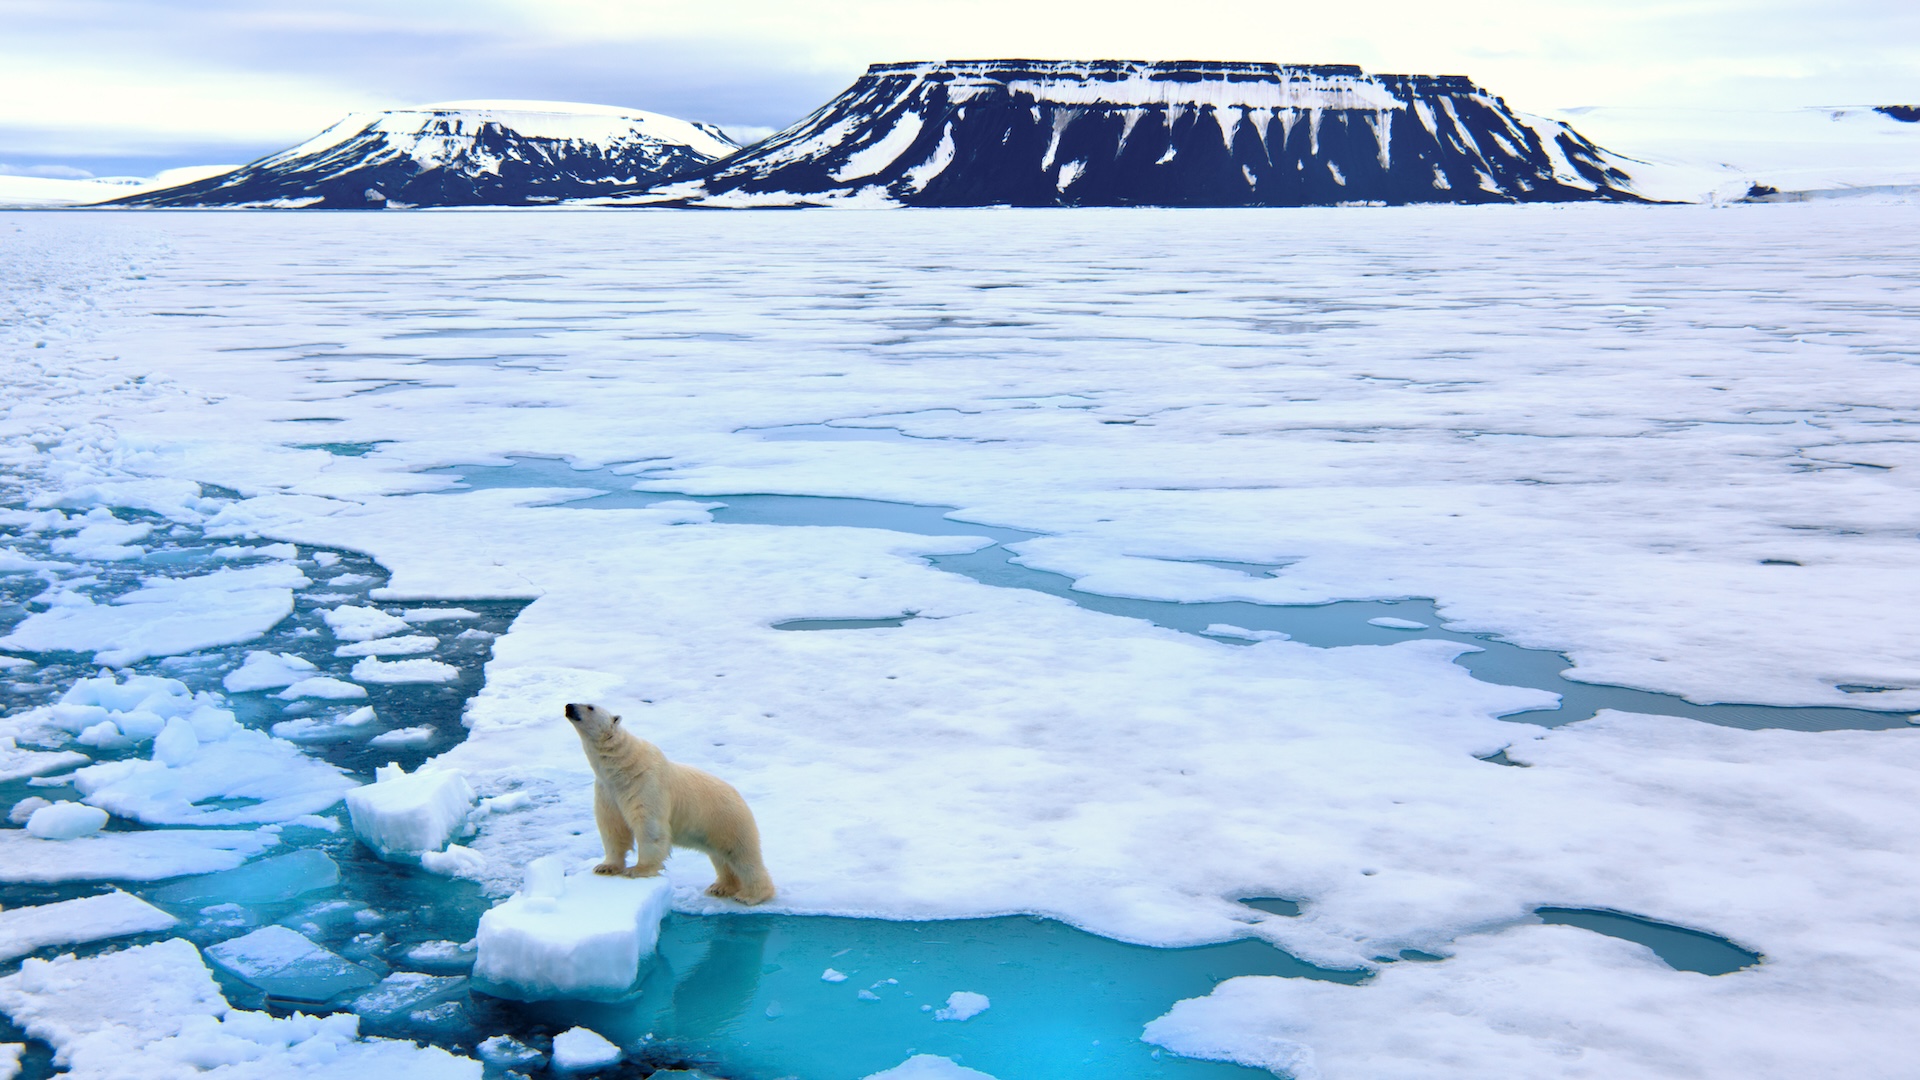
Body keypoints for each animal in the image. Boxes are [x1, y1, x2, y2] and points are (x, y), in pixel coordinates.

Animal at [560, 699, 771, 899]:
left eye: (590, 707)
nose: (569, 706)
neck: (622, 766)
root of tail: (740, 797)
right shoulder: (608, 791)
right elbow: (613, 827)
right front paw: (605, 867)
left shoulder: (646, 784)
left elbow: (649, 827)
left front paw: (638, 870)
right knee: (721, 858)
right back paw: (721, 887)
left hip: (728, 821)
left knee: (742, 856)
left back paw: (751, 895)